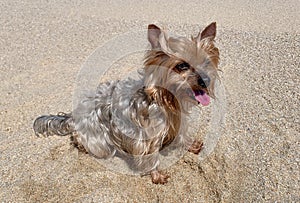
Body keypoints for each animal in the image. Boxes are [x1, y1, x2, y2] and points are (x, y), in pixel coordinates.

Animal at [33, 22, 220, 184]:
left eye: (206, 62)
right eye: (182, 66)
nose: (205, 80)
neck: (165, 100)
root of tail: (74, 116)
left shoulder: (178, 122)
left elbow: (182, 136)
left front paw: (191, 145)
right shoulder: (145, 137)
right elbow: (151, 156)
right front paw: (157, 175)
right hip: (100, 141)